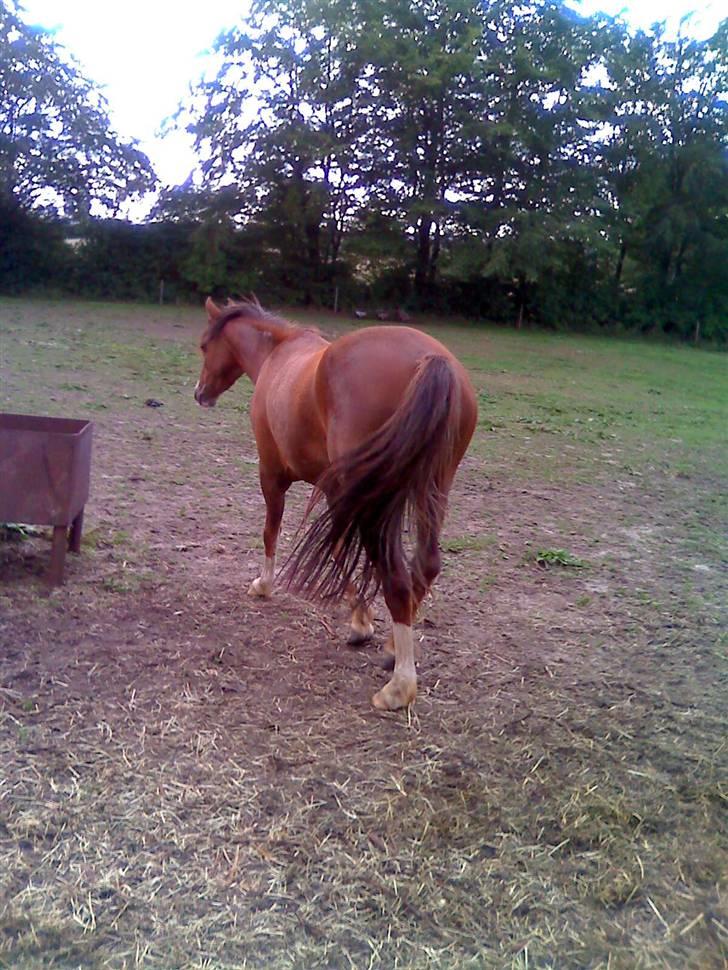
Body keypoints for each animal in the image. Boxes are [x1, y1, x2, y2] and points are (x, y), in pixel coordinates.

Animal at [194, 297, 477, 710]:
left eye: (204, 346)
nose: (200, 393)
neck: (279, 354)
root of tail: (431, 360)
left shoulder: (271, 475)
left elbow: (272, 531)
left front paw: (265, 584)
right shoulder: (336, 490)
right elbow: (342, 548)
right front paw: (362, 619)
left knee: (395, 576)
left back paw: (399, 687)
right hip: (432, 490)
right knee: (425, 566)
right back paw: (393, 648)